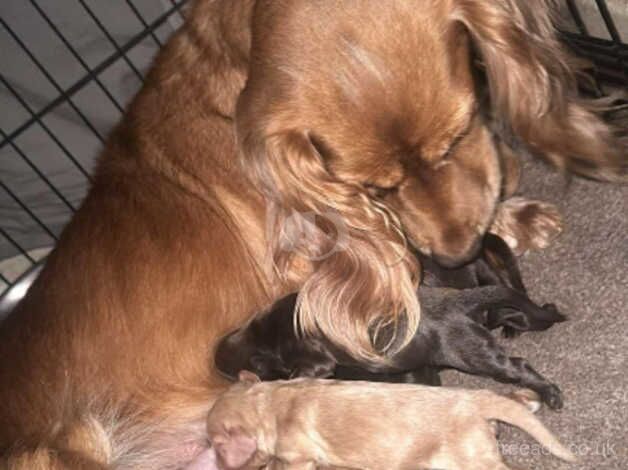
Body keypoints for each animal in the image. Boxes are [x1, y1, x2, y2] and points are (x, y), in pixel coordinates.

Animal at [218, 234, 568, 408]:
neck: (263, 332)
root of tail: (453, 300)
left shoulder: (314, 359)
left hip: (473, 352)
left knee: (517, 365)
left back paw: (551, 395)